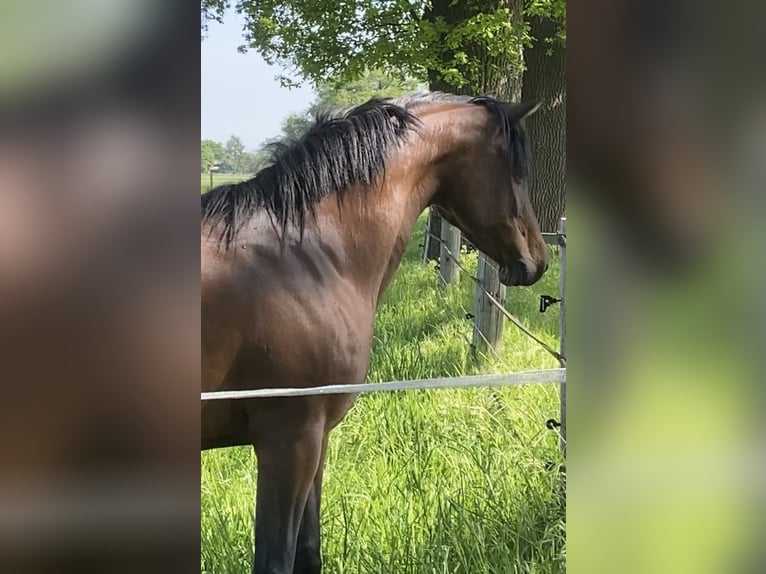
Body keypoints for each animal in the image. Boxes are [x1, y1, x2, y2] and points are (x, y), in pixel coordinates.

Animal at [202, 94, 552, 574]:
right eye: (517, 170)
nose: (537, 260)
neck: (302, 256)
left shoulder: (316, 438)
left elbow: (308, 552)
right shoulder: (289, 440)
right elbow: (276, 559)